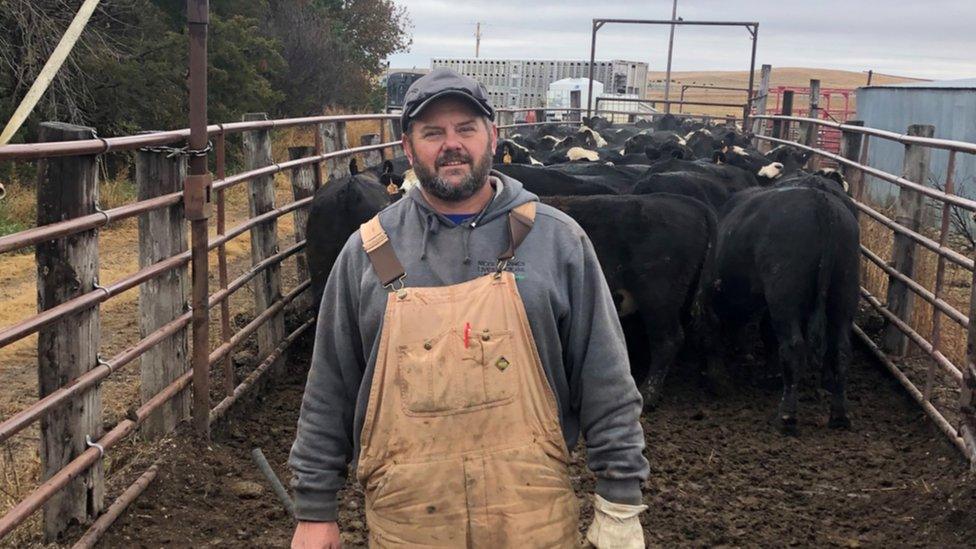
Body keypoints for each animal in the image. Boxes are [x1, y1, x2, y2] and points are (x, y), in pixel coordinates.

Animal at [704, 176, 856, 432]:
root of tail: (820, 202)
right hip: (843, 294)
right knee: (840, 350)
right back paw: (839, 414)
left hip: (784, 295)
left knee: (793, 347)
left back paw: (786, 416)